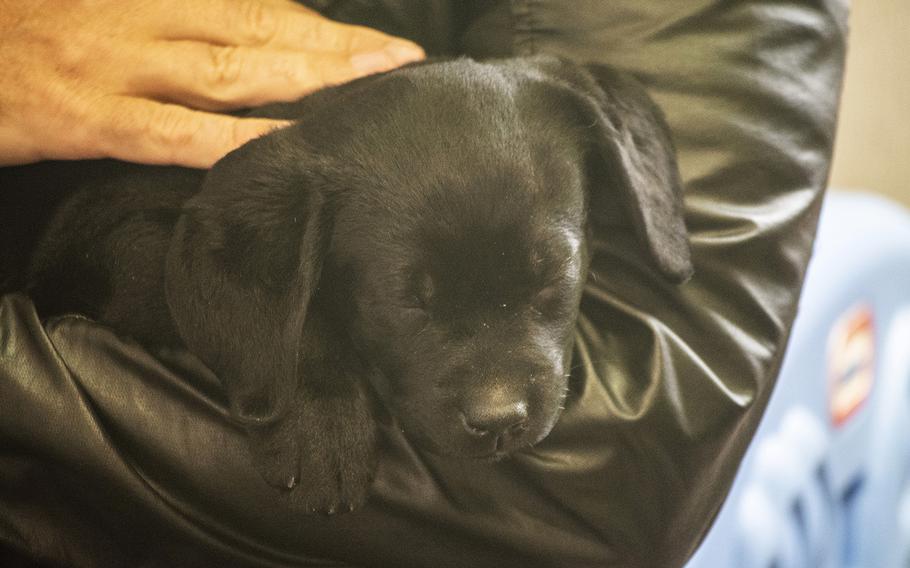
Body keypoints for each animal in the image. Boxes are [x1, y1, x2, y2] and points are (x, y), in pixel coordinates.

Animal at [21, 55, 692, 512]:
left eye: (554, 273)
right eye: (405, 302)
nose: (500, 420)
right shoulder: (113, 232)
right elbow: (292, 309)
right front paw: (320, 417)